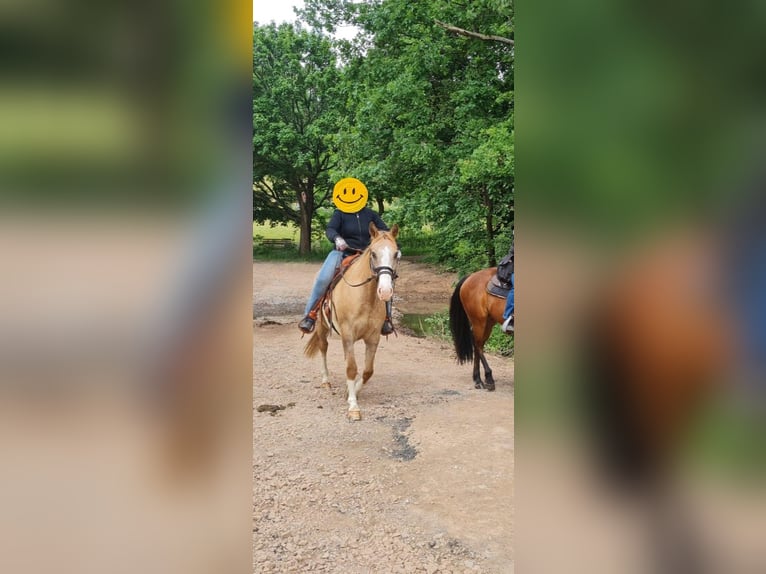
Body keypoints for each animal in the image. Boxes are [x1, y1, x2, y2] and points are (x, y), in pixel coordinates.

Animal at [306, 223, 402, 420]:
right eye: (373, 253)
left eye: (396, 254)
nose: (385, 291)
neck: (364, 297)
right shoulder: (348, 335)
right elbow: (351, 368)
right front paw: (353, 406)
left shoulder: (373, 338)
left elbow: (367, 370)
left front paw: (352, 392)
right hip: (321, 327)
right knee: (323, 348)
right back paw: (325, 380)